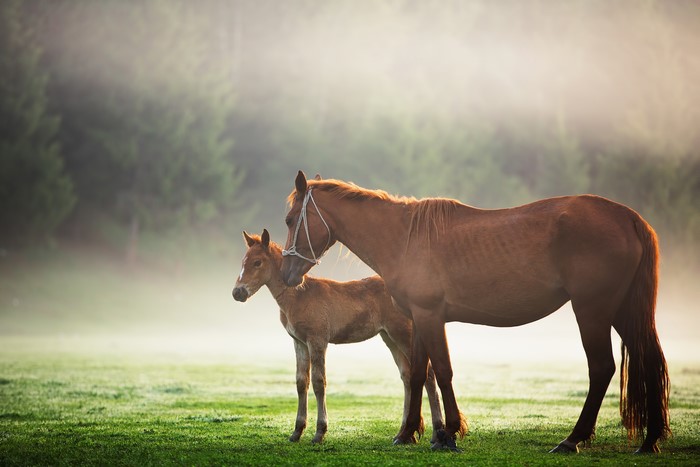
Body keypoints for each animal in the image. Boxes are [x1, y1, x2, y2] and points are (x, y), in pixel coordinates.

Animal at [232, 228, 444, 444]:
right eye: (243, 261)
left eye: (257, 262)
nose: (237, 293)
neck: (299, 296)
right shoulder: (299, 342)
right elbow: (301, 382)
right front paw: (297, 431)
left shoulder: (317, 340)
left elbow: (319, 382)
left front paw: (319, 432)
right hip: (389, 338)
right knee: (407, 376)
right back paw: (403, 433)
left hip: (402, 334)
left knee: (427, 375)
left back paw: (436, 433)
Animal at [279, 170, 670, 454]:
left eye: (289, 219)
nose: (287, 275)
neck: (406, 238)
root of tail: (631, 219)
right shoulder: (418, 319)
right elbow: (419, 374)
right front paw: (409, 433)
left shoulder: (431, 316)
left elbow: (443, 372)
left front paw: (448, 433)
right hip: (621, 312)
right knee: (648, 360)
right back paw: (650, 439)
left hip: (592, 311)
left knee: (601, 368)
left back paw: (572, 439)